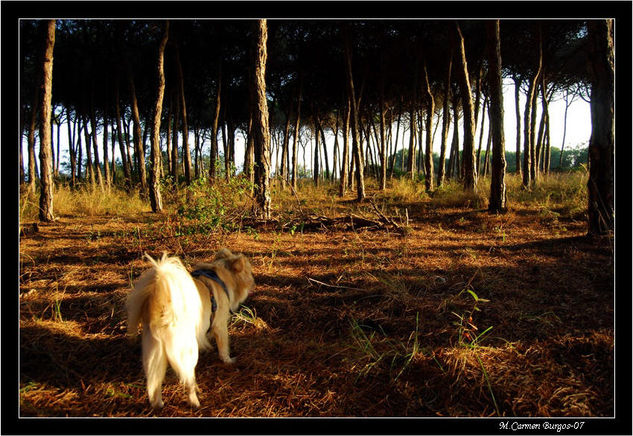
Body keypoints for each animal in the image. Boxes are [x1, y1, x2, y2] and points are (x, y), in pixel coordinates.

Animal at [126, 249, 254, 408]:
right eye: (248, 270)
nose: (253, 280)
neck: (221, 276)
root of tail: (162, 309)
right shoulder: (220, 326)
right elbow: (224, 348)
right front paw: (228, 360)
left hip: (155, 354)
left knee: (155, 383)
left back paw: (158, 404)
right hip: (188, 351)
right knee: (188, 380)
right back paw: (195, 401)